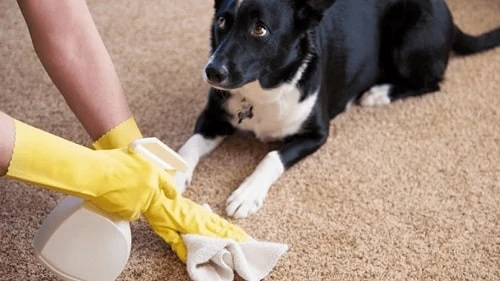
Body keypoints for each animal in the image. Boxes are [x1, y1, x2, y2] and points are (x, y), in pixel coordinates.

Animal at [173, 0, 500, 217]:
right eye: (222, 21)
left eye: (260, 30)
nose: (212, 71)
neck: (262, 92)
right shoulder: (213, 117)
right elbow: (189, 146)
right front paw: (172, 173)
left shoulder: (317, 134)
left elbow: (271, 157)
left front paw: (248, 193)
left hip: (408, 44)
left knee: (431, 82)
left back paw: (378, 93)